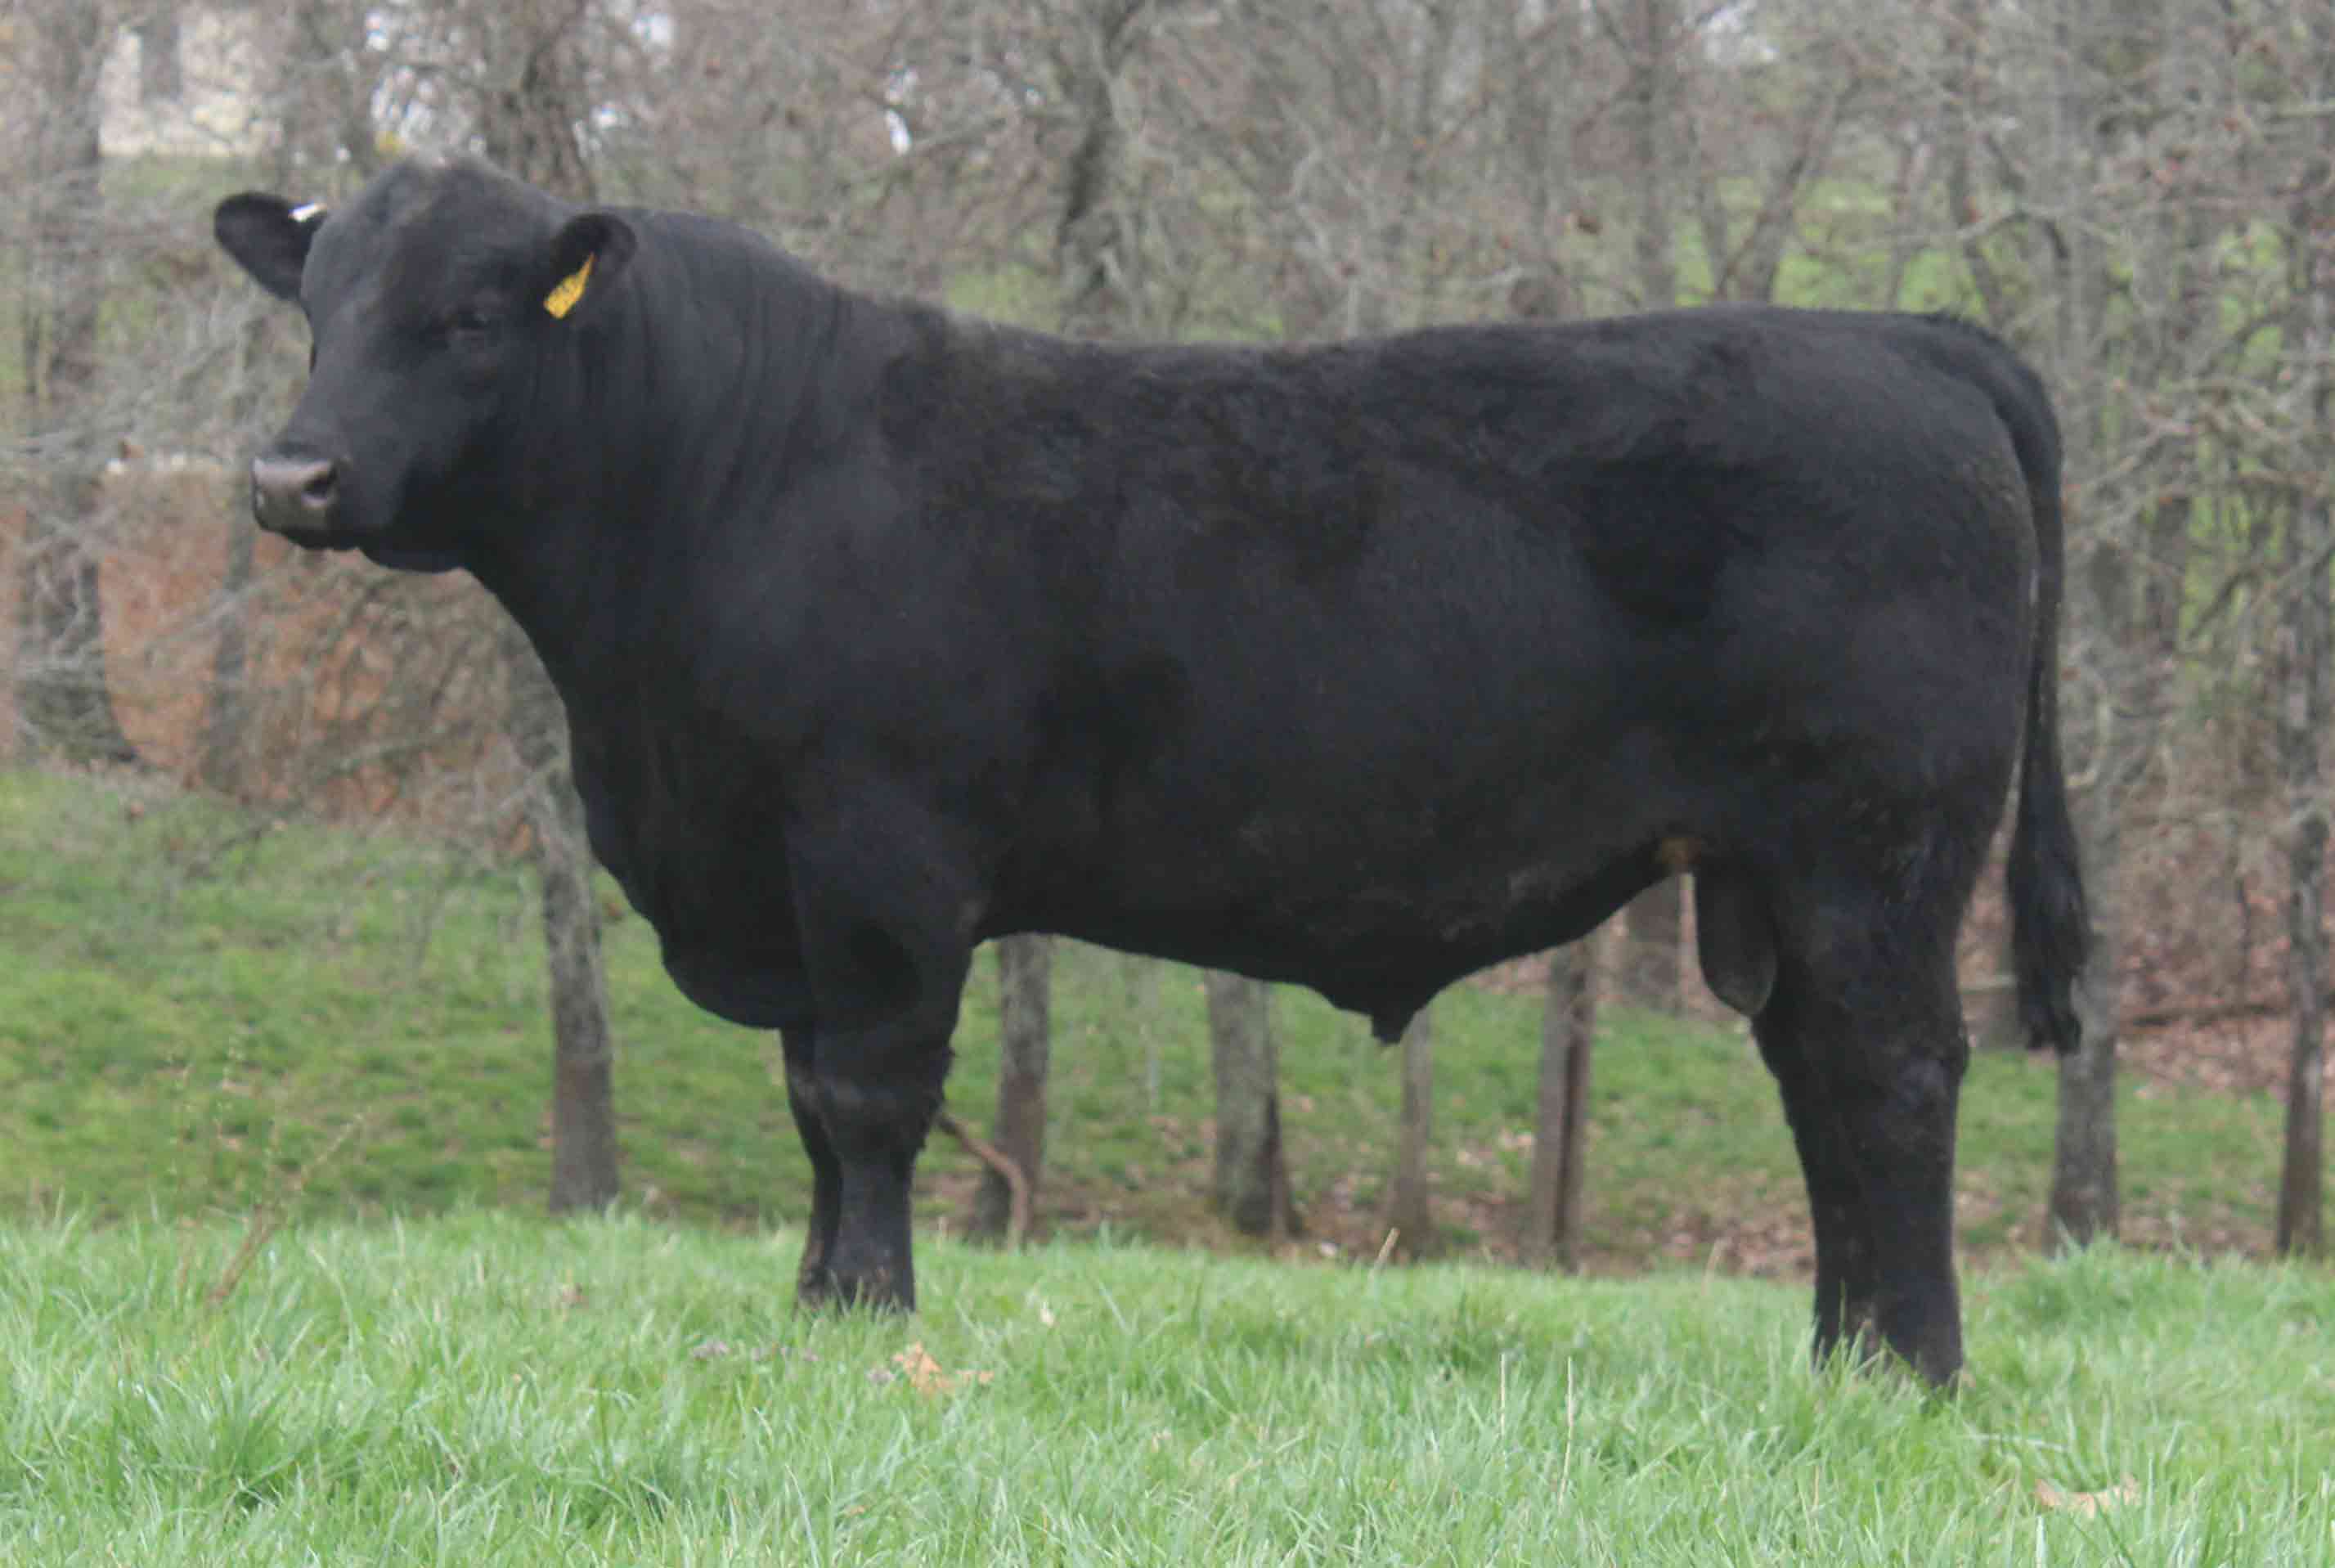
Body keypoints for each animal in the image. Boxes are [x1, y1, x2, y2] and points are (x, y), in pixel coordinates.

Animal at [213, 158, 2086, 1389]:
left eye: (469, 314)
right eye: (312, 312)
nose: (290, 475)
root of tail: (1905, 338)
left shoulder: (878, 857)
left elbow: (868, 1098)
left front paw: (868, 1319)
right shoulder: (783, 877)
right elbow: (812, 1106)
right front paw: (816, 1303)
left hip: (1875, 848)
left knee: (1892, 1079)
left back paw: (1913, 1369)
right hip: (1778, 875)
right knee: (1821, 1085)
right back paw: (1839, 1354)